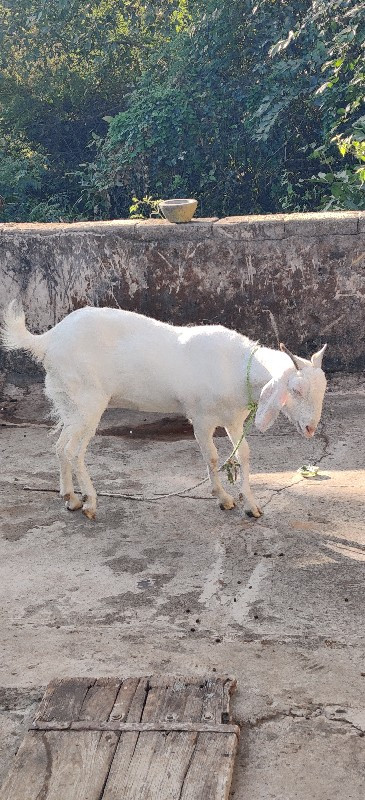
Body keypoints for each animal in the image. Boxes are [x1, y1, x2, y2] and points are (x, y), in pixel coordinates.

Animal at [2, 300, 328, 520]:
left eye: (323, 389)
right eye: (296, 390)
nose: (311, 428)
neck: (233, 365)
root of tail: (48, 339)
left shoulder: (234, 419)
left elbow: (243, 455)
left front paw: (251, 505)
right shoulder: (201, 417)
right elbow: (212, 456)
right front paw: (223, 498)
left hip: (69, 402)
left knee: (60, 447)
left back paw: (70, 497)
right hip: (88, 401)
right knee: (74, 450)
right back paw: (90, 502)